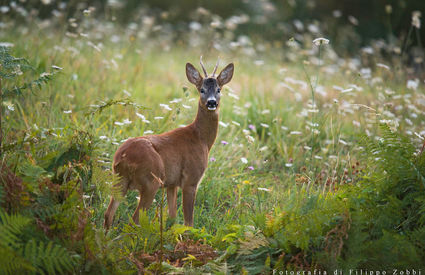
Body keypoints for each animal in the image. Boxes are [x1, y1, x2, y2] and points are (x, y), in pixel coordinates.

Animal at [104, 57, 234, 229]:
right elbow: (188, 223)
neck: (201, 139)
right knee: (133, 219)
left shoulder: (172, 184)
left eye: (219, 89)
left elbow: (172, 218)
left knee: (108, 214)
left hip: (120, 180)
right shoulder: (191, 179)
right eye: (202, 90)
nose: (211, 102)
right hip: (150, 181)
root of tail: (121, 157)